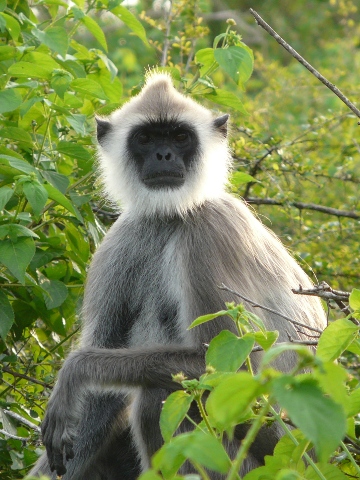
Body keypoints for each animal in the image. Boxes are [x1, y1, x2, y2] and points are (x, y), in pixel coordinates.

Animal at [31, 73, 326, 478]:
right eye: (146, 138)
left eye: (180, 137)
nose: (164, 155)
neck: (171, 216)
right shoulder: (120, 241)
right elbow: (99, 394)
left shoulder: (210, 229)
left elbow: (234, 368)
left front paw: (75, 371)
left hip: (263, 453)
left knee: (161, 393)